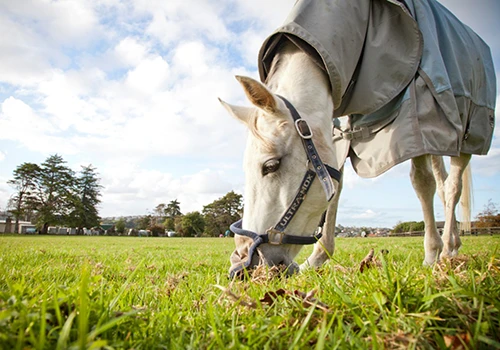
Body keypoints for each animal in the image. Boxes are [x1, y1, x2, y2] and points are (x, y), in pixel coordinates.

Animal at [222, 0, 496, 278]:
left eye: (270, 166)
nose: (245, 265)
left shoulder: (418, 118)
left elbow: (421, 183)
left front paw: (431, 255)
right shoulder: (336, 135)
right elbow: (336, 188)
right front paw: (318, 258)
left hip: (464, 131)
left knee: (452, 186)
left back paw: (448, 249)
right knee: (443, 184)